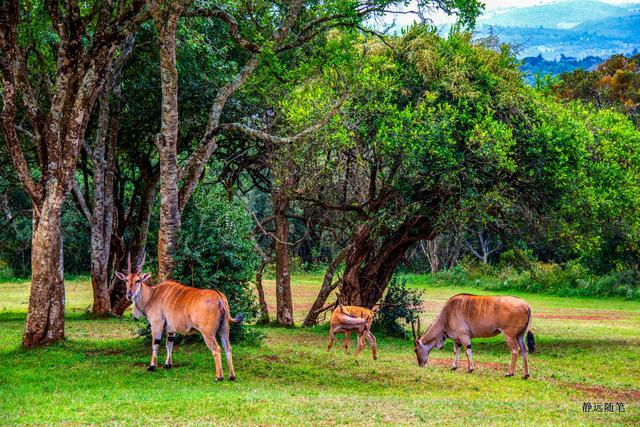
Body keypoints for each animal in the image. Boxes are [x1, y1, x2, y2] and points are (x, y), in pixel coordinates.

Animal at [115, 254, 242, 382]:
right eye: (126, 280)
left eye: (138, 280)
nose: (129, 294)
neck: (151, 295)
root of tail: (219, 297)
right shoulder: (171, 329)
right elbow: (169, 344)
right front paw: (167, 365)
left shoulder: (156, 325)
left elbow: (155, 343)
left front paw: (152, 366)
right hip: (224, 329)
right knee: (228, 348)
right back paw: (232, 376)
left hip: (208, 333)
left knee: (216, 349)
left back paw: (219, 377)